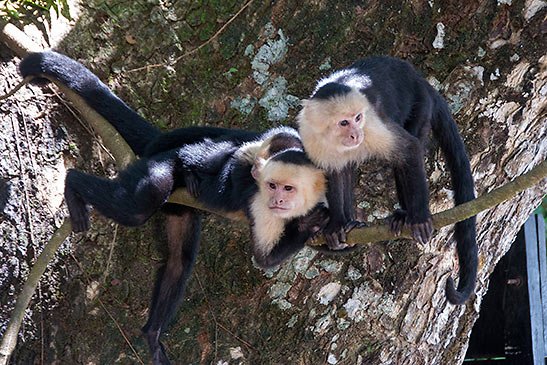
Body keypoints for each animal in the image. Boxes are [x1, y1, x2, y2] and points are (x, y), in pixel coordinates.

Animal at [19, 52, 332, 364]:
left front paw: (324, 228)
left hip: (179, 208)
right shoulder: (254, 179)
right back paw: (74, 184)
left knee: (180, 260)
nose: (273, 191)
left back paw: (153, 333)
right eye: (273, 184)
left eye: (287, 187)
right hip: (159, 166)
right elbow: (263, 255)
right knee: (150, 192)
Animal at [298, 54, 478, 304]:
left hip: (421, 103)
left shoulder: (372, 123)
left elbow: (409, 149)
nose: (356, 134)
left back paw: (405, 215)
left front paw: (420, 217)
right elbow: (333, 172)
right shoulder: (310, 133)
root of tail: (419, 78)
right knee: (347, 167)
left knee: (409, 149)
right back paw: (350, 223)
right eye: (344, 122)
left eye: (357, 118)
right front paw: (336, 225)